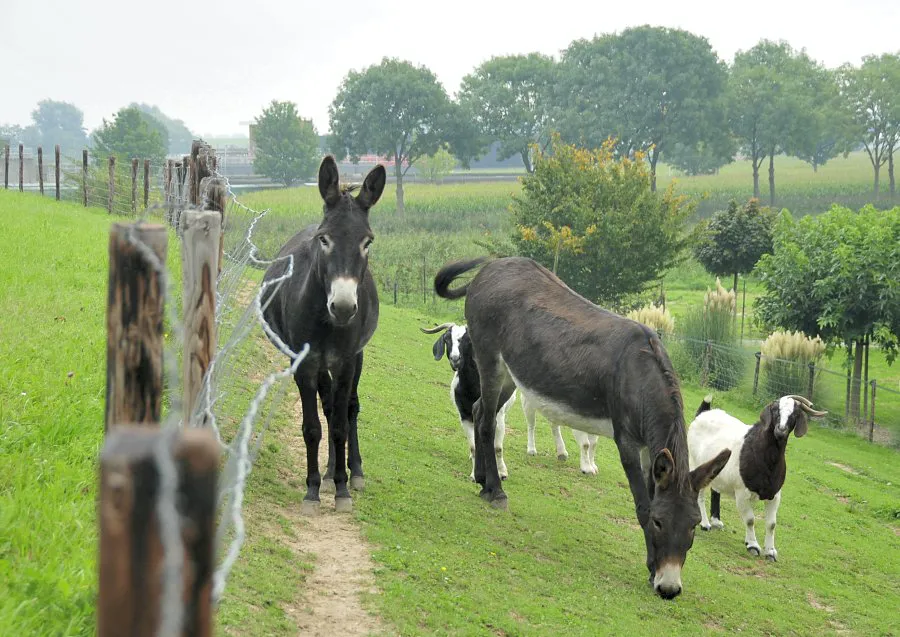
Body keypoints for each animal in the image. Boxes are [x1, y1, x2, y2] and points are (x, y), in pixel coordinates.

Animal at [688, 392, 828, 560]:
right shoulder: (742, 493)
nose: (781, 429)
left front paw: (770, 551)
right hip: (696, 463)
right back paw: (705, 524)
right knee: (700, 495)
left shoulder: (775, 495)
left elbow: (771, 524)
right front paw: (753, 546)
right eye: (775, 410)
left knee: (716, 490)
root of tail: (703, 413)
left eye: (794, 414)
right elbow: (750, 520)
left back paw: (716, 521)